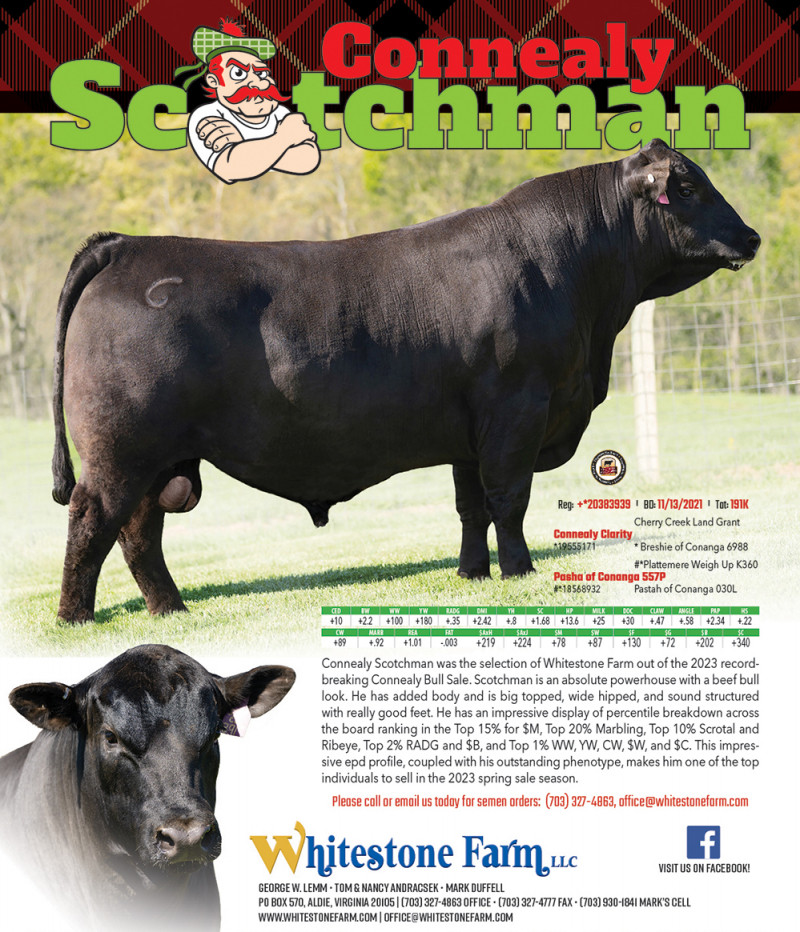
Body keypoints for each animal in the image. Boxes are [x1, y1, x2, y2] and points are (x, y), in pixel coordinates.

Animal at [51, 139, 760, 622]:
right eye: (688, 186)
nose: (751, 236)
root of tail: (128, 243)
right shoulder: (517, 409)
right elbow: (509, 498)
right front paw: (520, 571)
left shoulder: (470, 430)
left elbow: (472, 505)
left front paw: (474, 574)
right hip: (121, 450)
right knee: (94, 519)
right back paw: (77, 616)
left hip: (156, 457)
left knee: (139, 532)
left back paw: (170, 609)